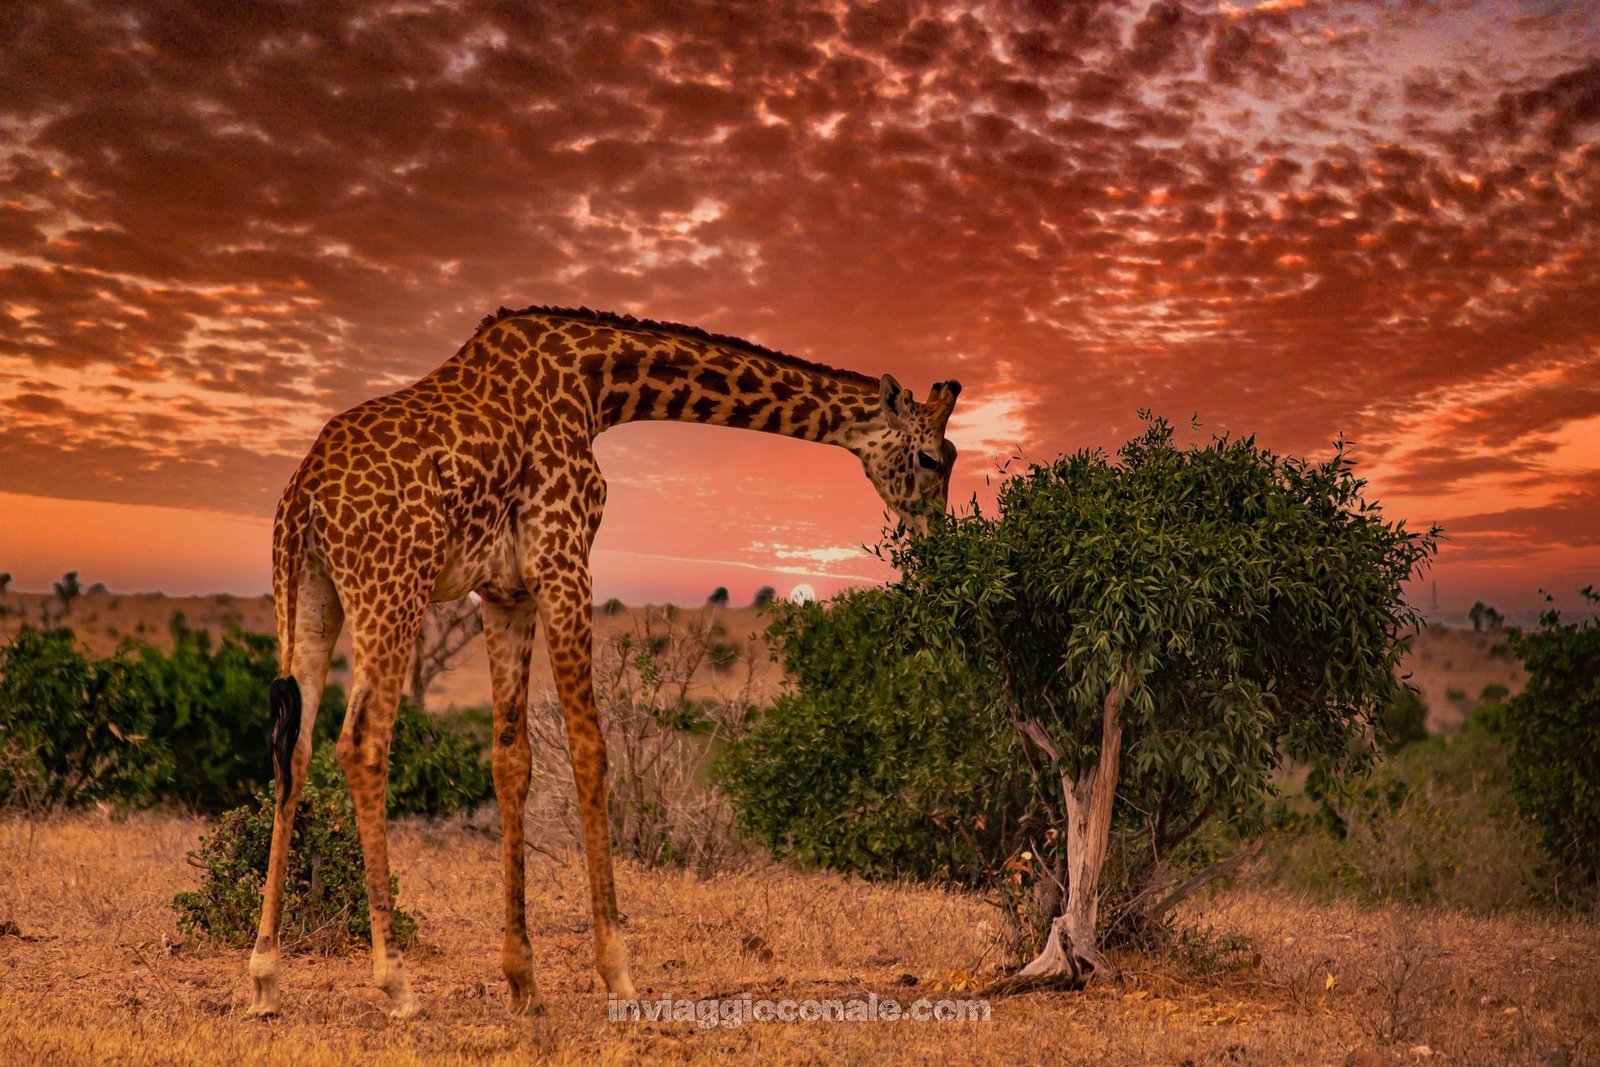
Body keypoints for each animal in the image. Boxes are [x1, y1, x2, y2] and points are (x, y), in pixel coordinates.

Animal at [246, 305, 963, 1019]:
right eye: (932, 457)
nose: (937, 541)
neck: (597, 389)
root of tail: (305, 494)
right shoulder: (564, 560)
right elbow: (591, 749)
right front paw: (617, 969)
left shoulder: (506, 592)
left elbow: (512, 761)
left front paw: (523, 980)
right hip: (392, 587)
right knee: (362, 744)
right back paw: (396, 980)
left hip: (307, 595)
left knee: (294, 747)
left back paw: (265, 976)